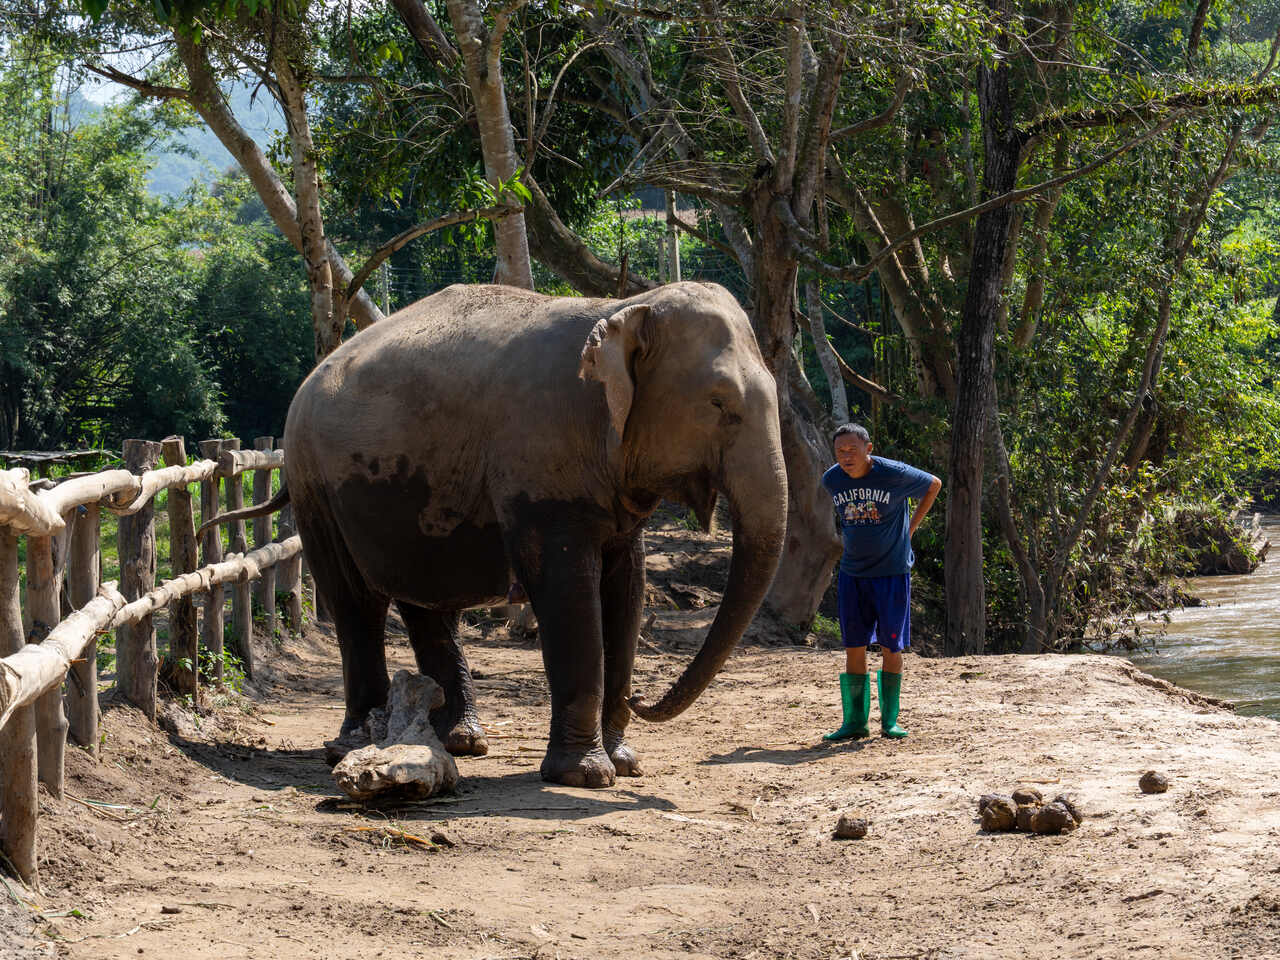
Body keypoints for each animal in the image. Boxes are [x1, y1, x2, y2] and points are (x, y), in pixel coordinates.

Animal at [209, 281, 787, 787]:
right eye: (719, 403)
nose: (643, 700)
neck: (621, 307)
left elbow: (627, 589)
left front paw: (625, 764)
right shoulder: (540, 463)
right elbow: (568, 595)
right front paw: (585, 776)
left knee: (426, 600)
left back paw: (460, 741)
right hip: (315, 485)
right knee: (356, 604)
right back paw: (354, 744)